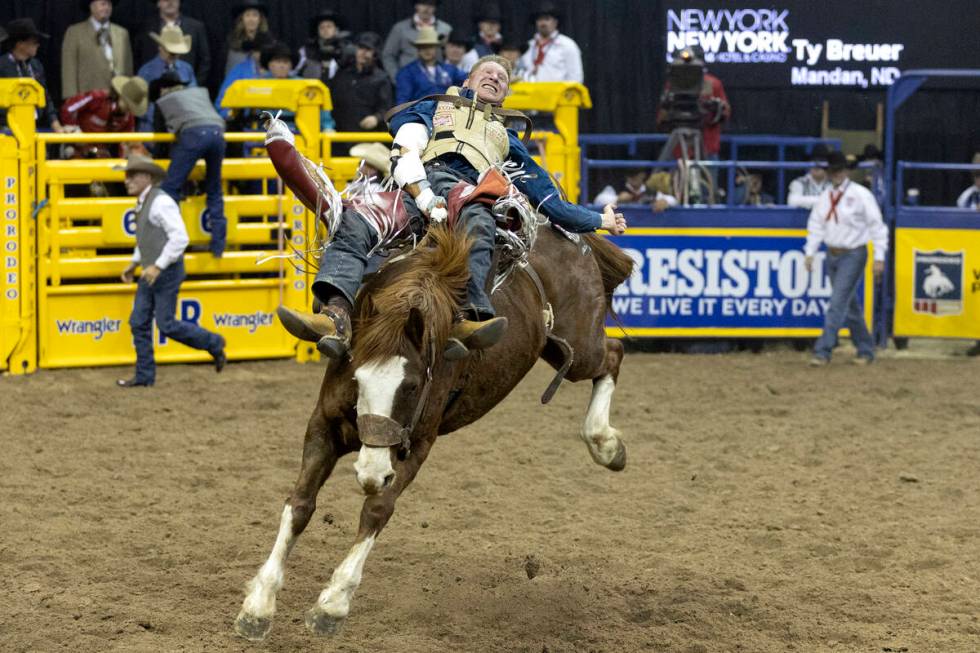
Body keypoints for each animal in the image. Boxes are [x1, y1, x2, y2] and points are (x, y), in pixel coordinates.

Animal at [236, 118, 636, 640]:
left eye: (411, 387)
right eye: (357, 378)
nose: (371, 471)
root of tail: (566, 235)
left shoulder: (419, 440)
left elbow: (378, 509)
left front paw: (332, 604)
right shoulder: (323, 421)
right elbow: (300, 502)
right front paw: (259, 605)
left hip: (582, 343)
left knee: (611, 356)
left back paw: (606, 445)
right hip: (554, 347)